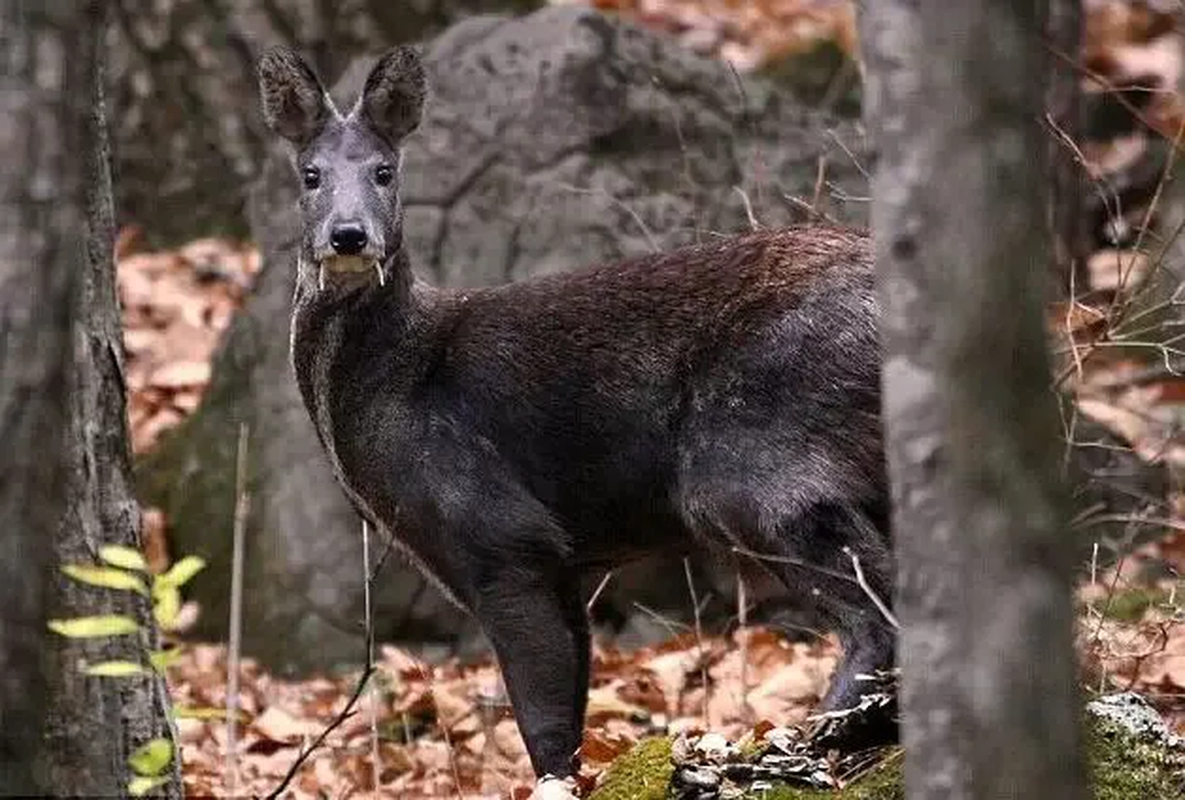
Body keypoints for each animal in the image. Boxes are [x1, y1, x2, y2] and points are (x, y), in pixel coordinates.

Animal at [257, 45, 891, 800]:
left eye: (385, 170)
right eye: (310, 174)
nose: (349, 236)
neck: (399, 382)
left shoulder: (501, 534)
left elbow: (543, 720)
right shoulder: (550, 560)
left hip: (752, 455)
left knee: (877, 607)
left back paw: (801, 742)